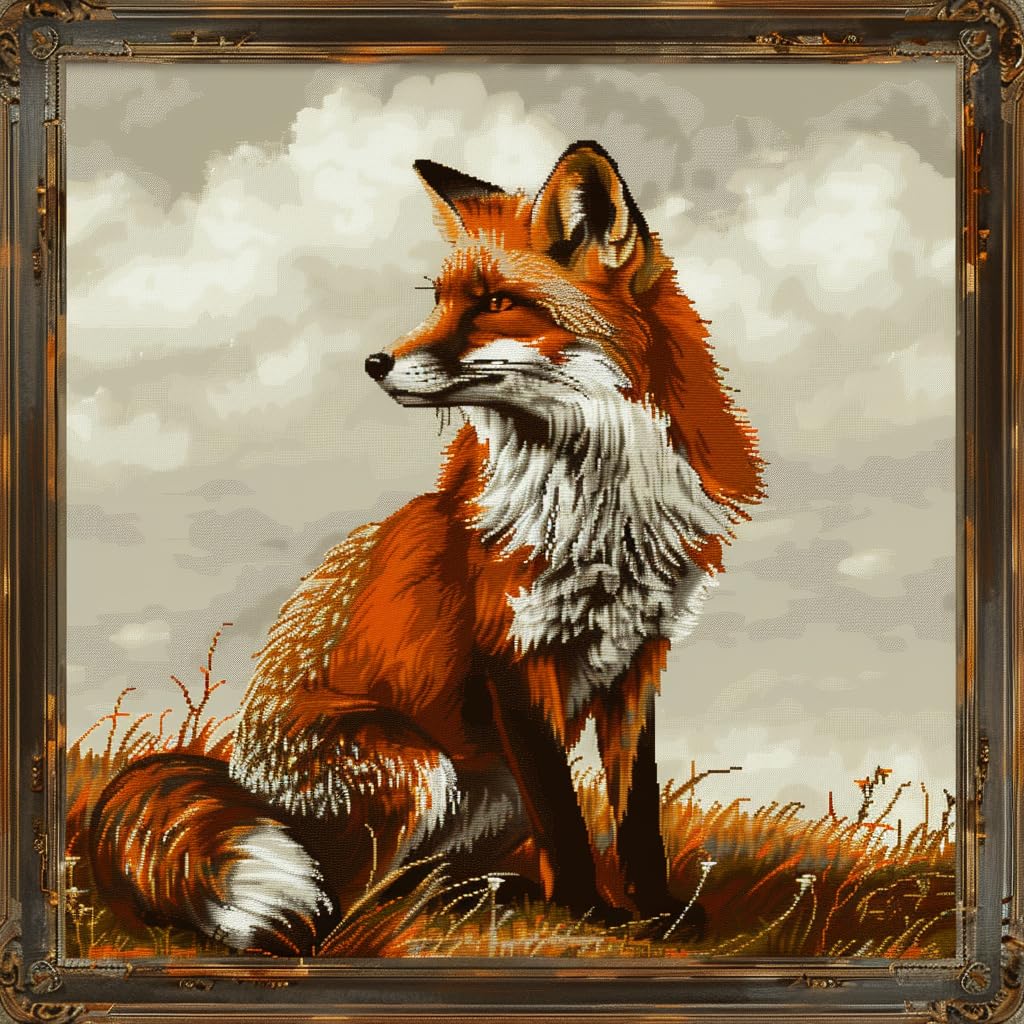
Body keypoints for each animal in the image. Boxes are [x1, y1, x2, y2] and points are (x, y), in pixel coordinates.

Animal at [89, 140, 763, 955]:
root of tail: (243, 779)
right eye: (438, 301)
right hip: (418, 767)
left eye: (495, 303)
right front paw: (589, 909)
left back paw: (487, 893)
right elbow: (564, 818)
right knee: (350, 894)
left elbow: (635, 814)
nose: (375, 362)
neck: (599, 502)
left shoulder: (638, 656)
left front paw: (658, 912)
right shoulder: (510, 651)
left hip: (485, 790)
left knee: (421, 880)